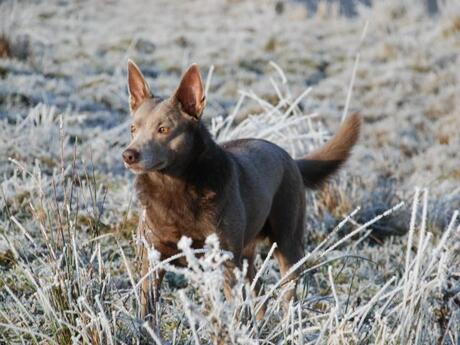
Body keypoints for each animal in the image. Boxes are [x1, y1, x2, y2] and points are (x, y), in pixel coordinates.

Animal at [124, 59, 362, 322]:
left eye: (163, 129)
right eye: (133, 128)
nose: (129, 155)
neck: (175, 187)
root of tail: (290, 158)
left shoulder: (225, 259)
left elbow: (235, 310)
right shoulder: (152, 258)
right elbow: (147, 306)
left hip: (287, 242)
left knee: (288, 292)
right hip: (247, 249)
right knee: (258, 288)